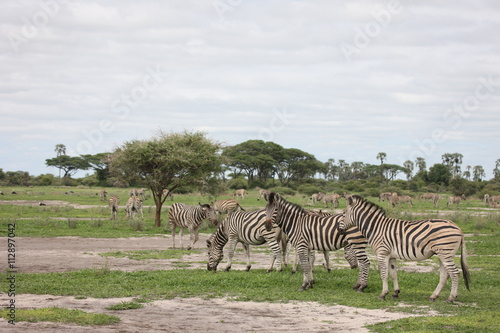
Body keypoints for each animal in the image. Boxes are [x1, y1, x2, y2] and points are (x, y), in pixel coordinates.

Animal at [338, 195, 470, 300]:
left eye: (343, 214)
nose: (339, 230)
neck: (376, 227)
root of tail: (458, 227)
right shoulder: (391, 255)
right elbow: (393, 274)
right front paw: (395, 293)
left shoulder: (382, 253)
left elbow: (384, 274)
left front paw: (383, 294)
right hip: (442, 254)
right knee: (444, 275)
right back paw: (433, 296)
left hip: (446, 253)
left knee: (455, 273)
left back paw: (451, 297)